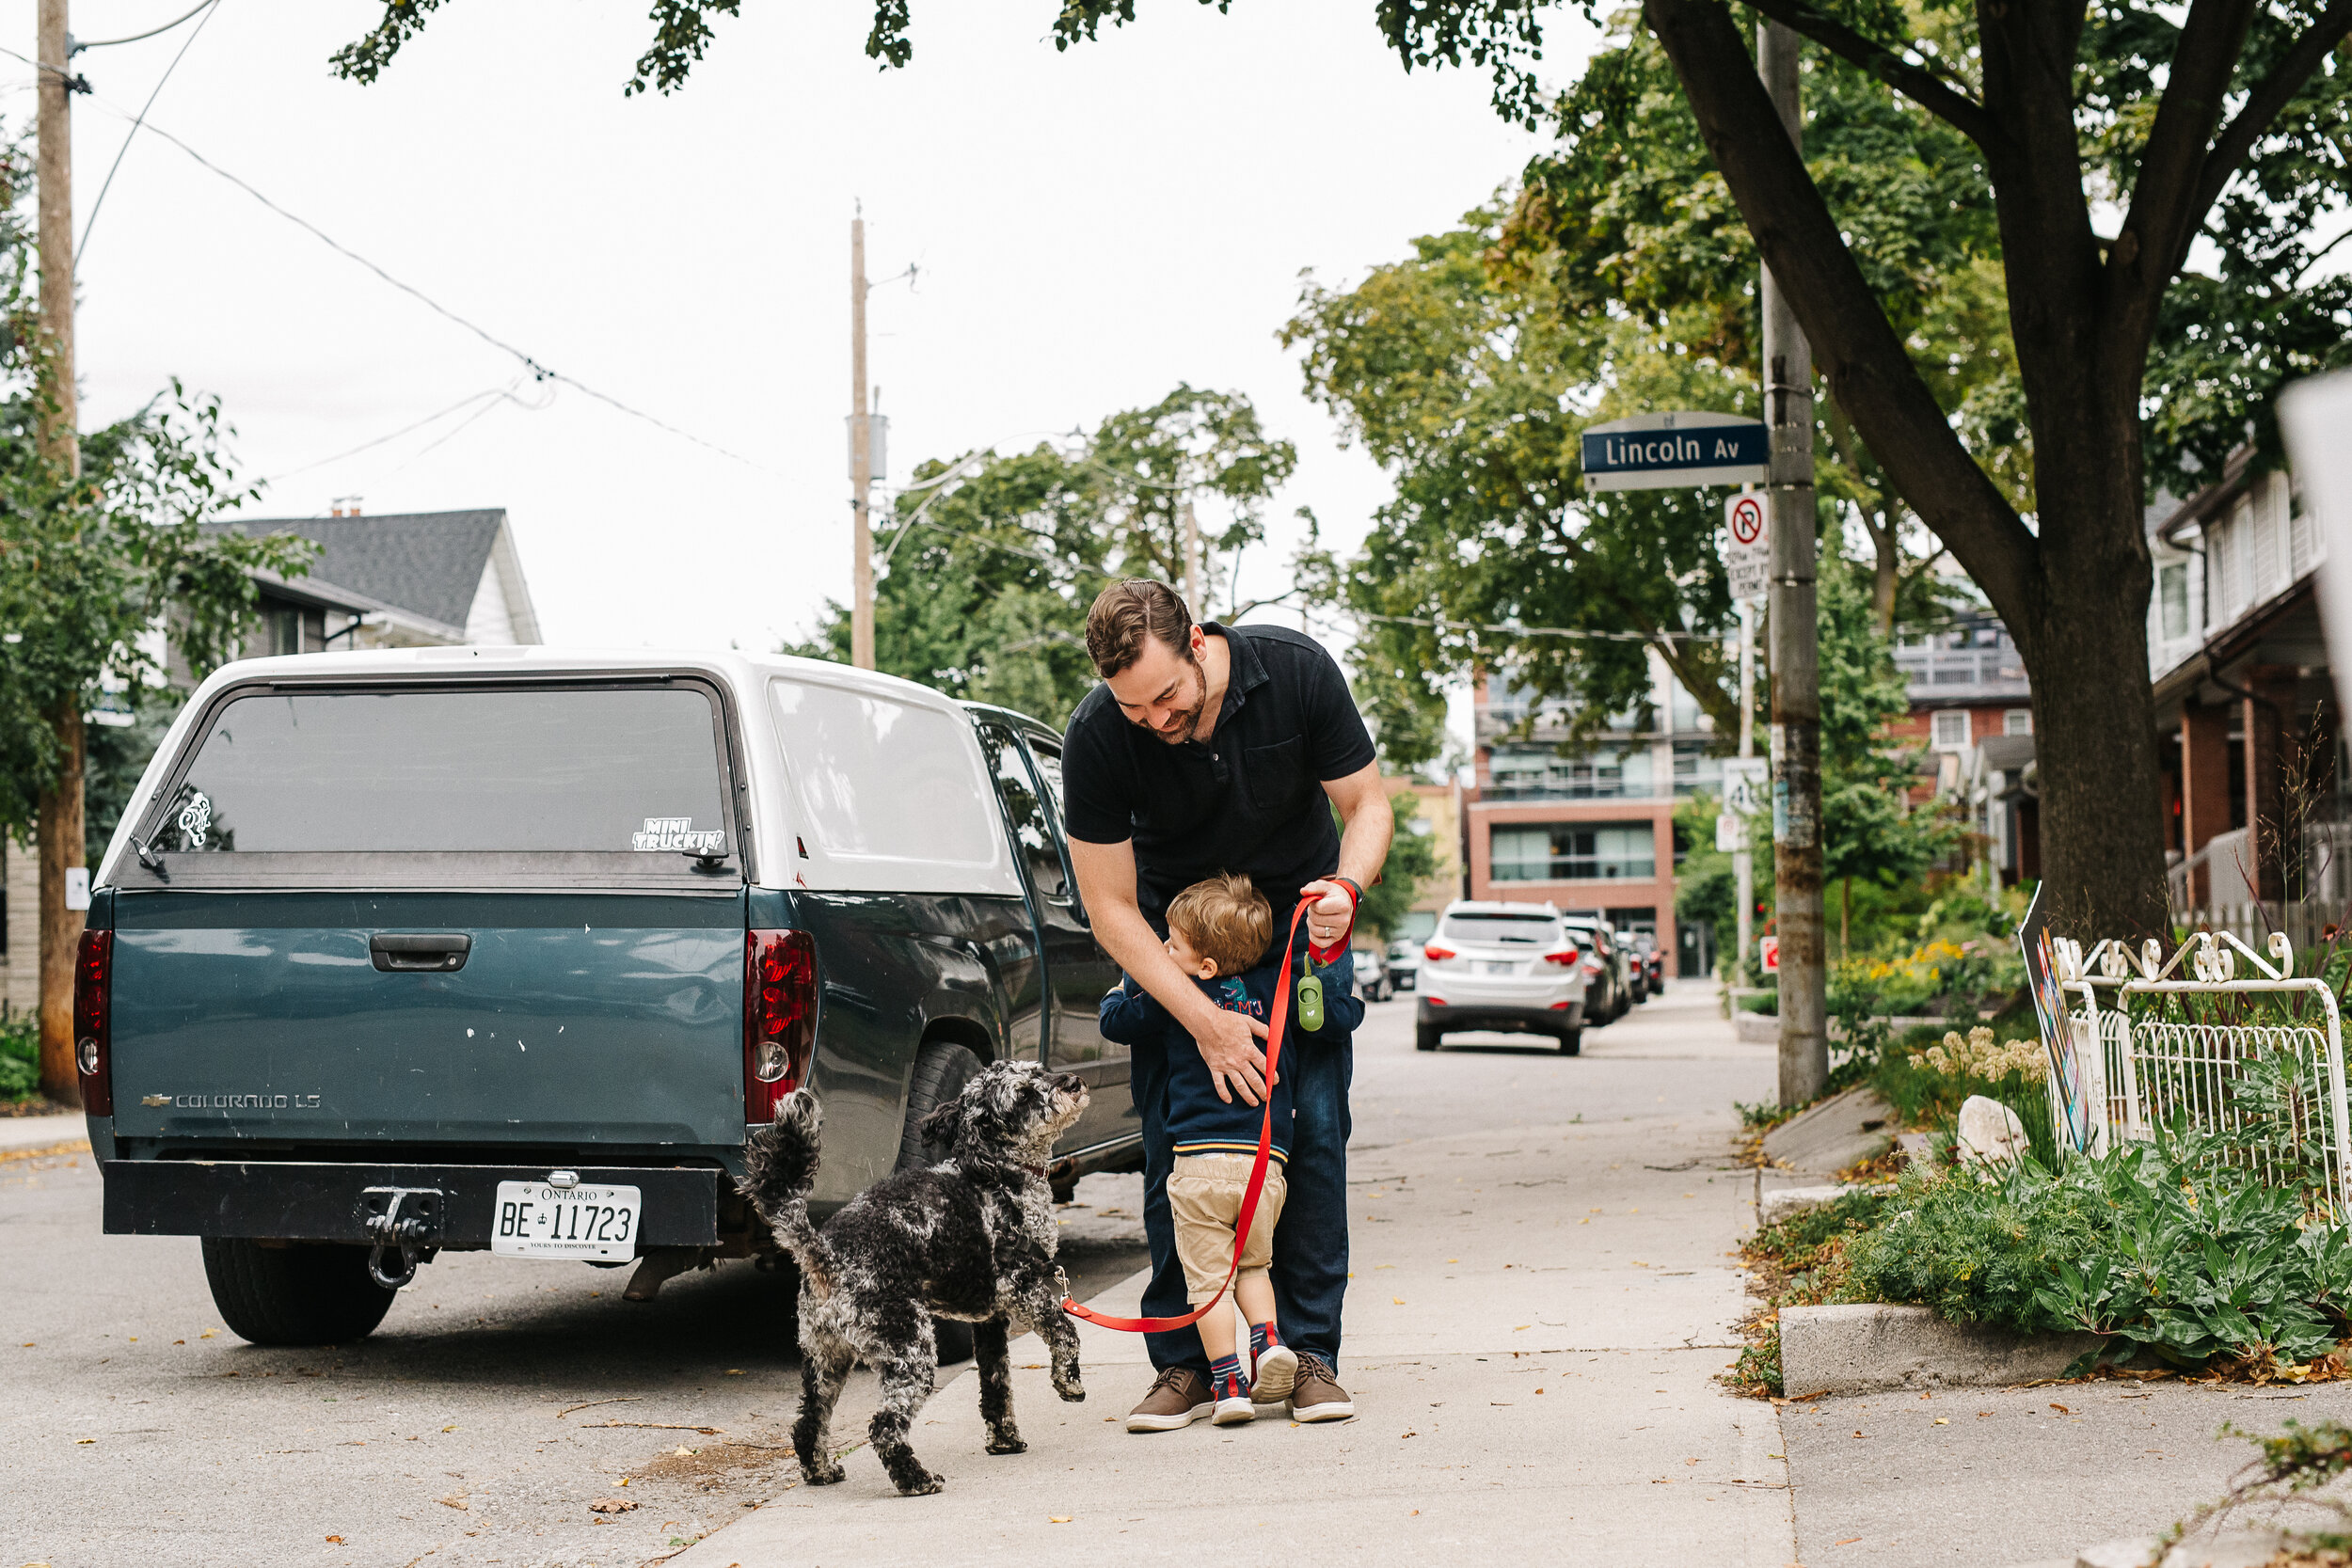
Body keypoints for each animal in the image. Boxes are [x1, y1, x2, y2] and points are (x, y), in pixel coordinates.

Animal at [739, 1067, 1087, 1495]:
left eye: (1039, 1071)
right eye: (1022, 1095)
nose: (1072, 1082)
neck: (997, 1172)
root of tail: (826, 1253)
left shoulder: (990, 1319)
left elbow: (996, 1385)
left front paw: (1004, 1441)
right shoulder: (1022, 1286)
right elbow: (1065, 1331)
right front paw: (1068, 1382)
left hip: (826, 1357)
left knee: (809, 1421)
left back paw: (821, 1471)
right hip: (908, 1347)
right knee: (884, 1426)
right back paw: (916, 1479)